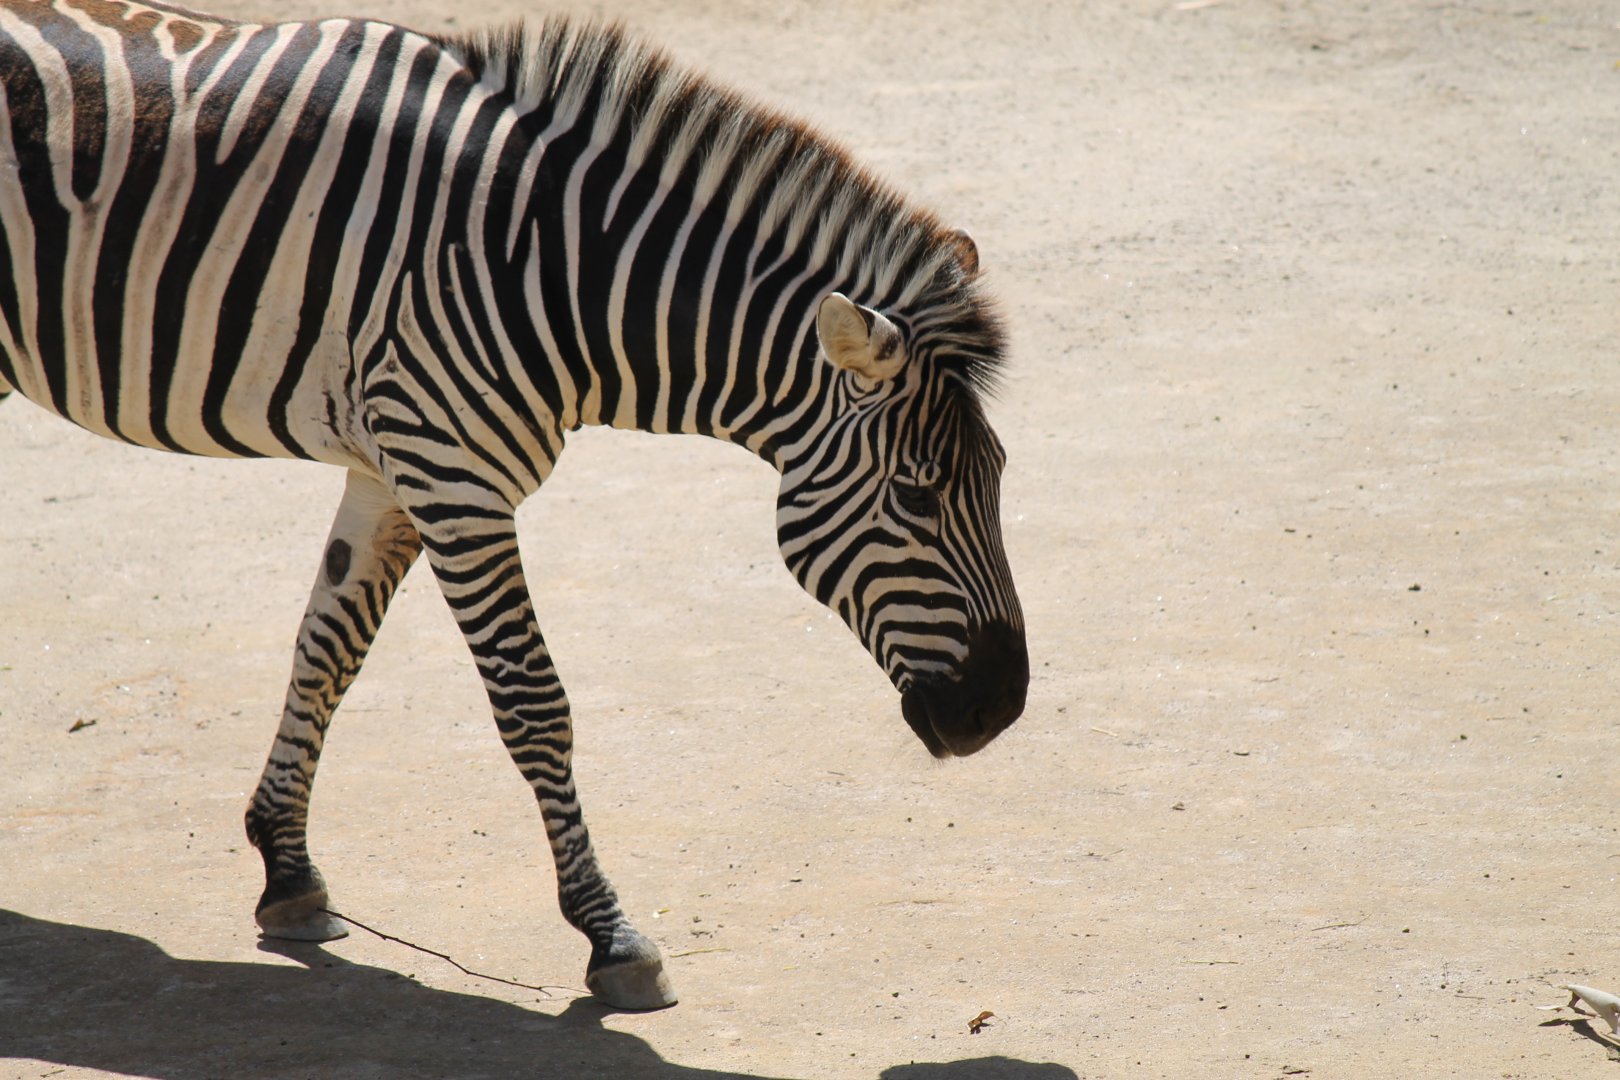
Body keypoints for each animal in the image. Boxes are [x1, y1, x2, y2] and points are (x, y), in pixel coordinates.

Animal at [0, 0, 1028, 1009]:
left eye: (1000, 474)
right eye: (917, 493)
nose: (1003, 708)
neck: (550, 267)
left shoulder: (392, 466)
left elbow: (327, 652)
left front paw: (288, 872)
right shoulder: (453, 476)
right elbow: (535, 704)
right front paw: (610, 935)